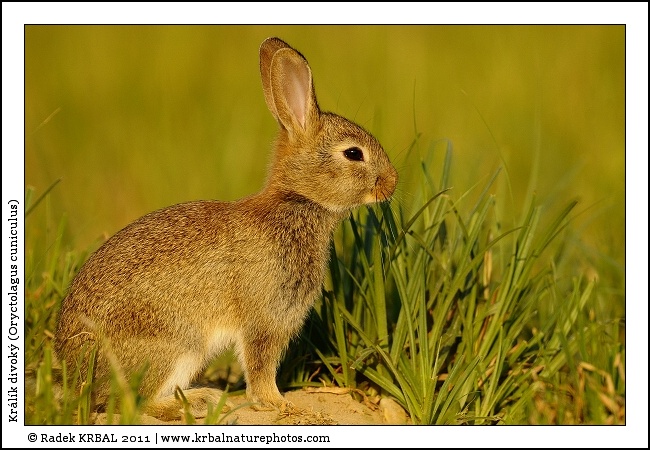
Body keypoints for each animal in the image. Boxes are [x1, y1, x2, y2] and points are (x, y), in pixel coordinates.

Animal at [54, 36, 398, 421]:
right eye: (353, 154)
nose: (392, 183)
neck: (298, 200)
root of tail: (75, 373)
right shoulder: (266, 319)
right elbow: (260, 366)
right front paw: (282, 405)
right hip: (179, 344)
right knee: (138, 400)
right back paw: (199, 400)